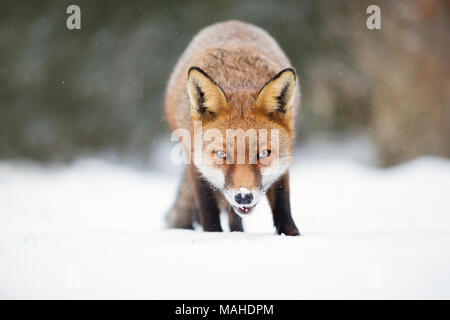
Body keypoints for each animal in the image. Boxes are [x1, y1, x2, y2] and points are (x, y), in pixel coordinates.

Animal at [164, 20, 298, 235]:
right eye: (221, 154)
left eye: (264, 153)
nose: (243, 197)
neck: (238, 81)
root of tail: (232, 23)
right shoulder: (195, 162)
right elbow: (208, 207)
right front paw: (214, 236)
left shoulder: (283, 162)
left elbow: (282, 205)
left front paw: (292, 235)